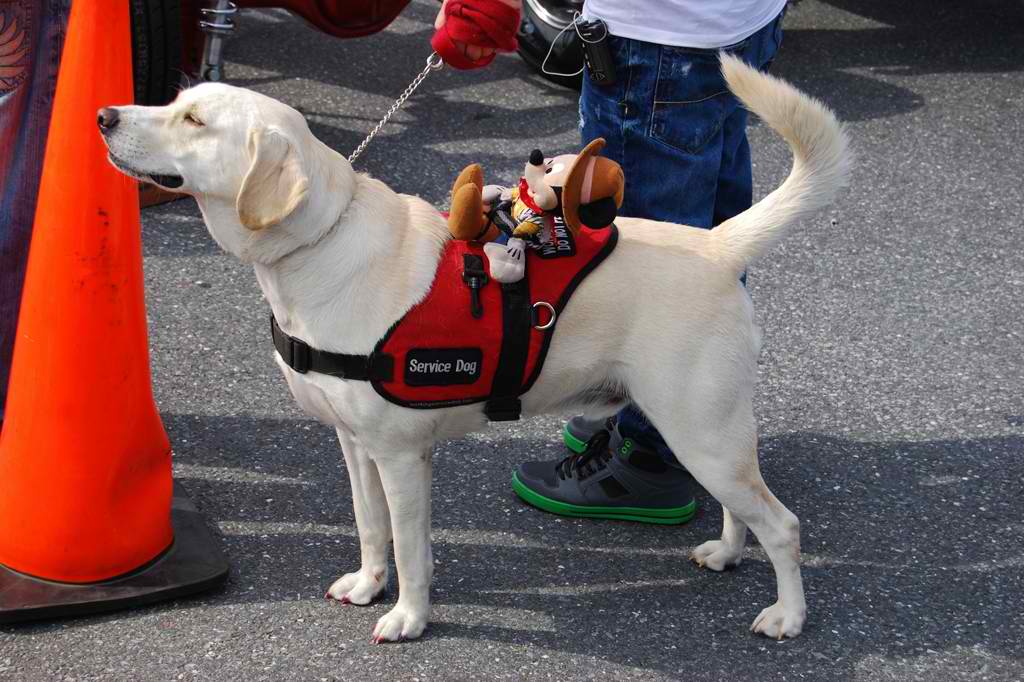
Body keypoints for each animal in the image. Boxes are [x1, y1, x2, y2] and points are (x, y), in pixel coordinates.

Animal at [99, 55, 847, 638]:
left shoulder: (402, 457)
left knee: (783, 525)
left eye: (195, 122)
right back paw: (726, 552)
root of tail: (718, 245)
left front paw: (408, 617)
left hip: (701, 431)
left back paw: (788, 615)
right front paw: (368, 583)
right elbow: (370, 527)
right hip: (705, 435)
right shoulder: (354, 446)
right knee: (740, 508)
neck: (321, 243)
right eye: (175, 102)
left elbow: (411, 547)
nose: (104, 115)